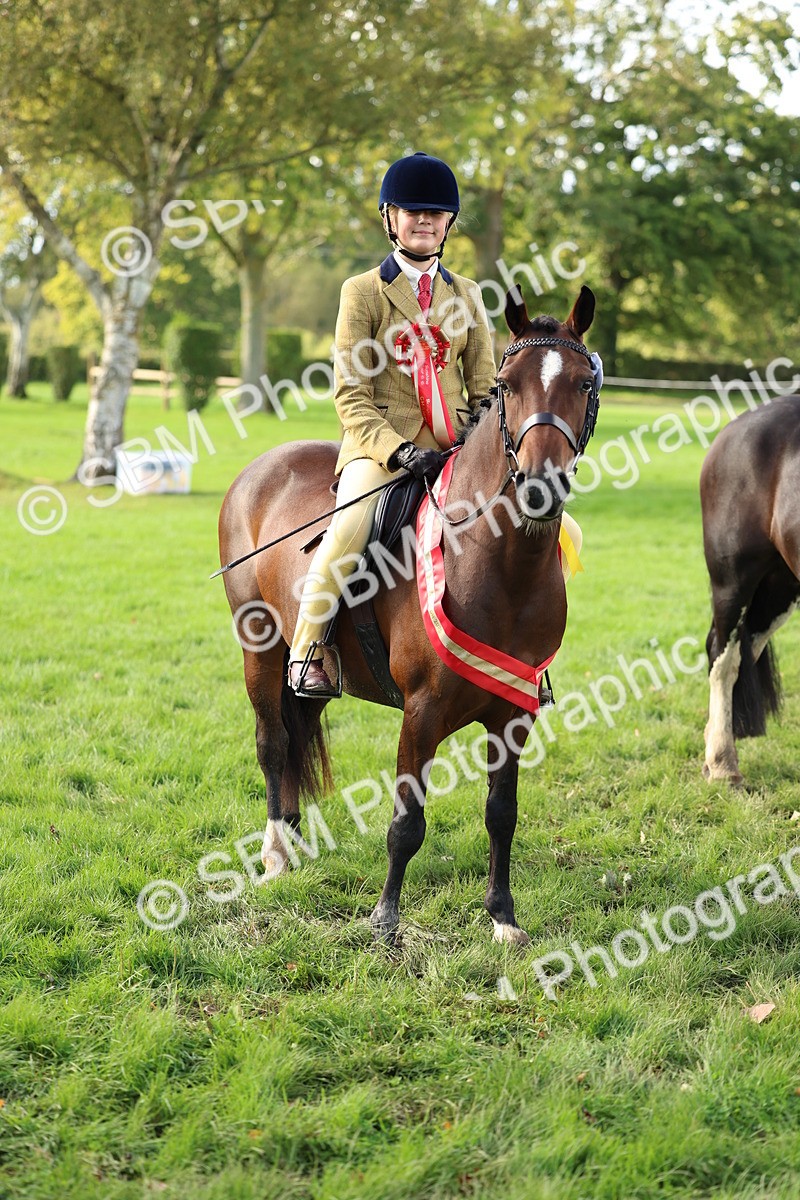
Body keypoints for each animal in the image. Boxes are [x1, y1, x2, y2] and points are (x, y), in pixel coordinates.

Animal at [218, 285, 600, 944]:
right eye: (507, 386)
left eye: (582, 383)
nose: (539, 486)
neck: (499, 562)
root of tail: (259, 468)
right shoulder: (421, 713)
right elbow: (407, 821)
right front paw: (385, 919)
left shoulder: (514, 715)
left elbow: (502, 814)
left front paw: (503, 917)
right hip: (259, 648)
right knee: (272, 743)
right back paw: (275, 854)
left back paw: (293, 839)